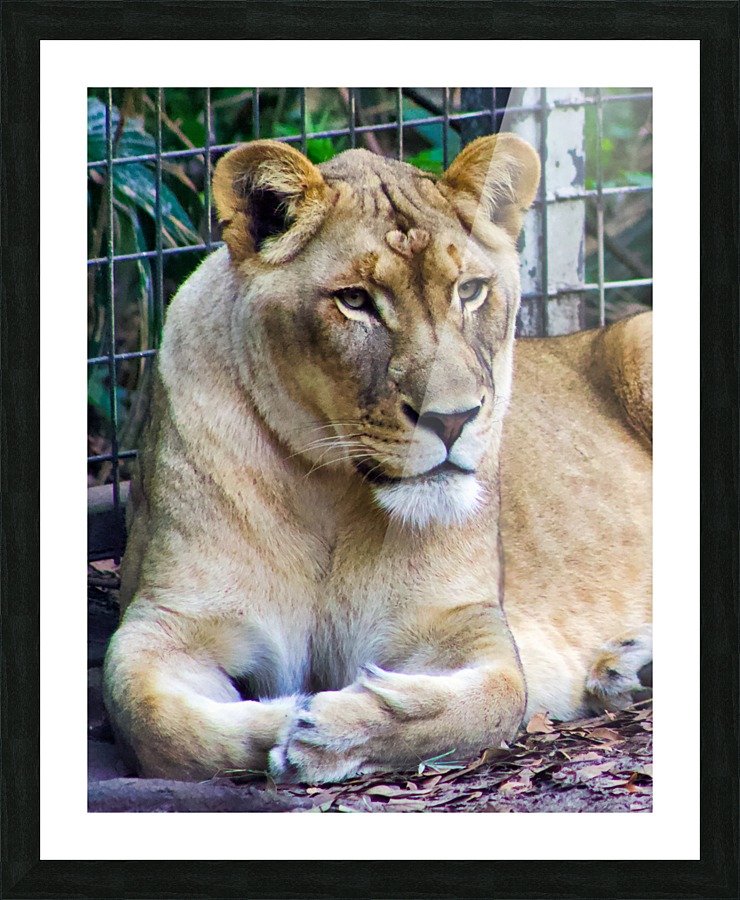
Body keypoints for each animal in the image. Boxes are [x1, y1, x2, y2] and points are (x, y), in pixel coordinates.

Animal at [103, 134, 652, 784]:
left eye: (470, 290)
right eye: (355, 301)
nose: (453, 418)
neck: (332, 496)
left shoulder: (464, 622)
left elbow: (494, 699)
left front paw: (337, 724)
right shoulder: (167, 620)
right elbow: (154, 722)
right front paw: (285, 720)